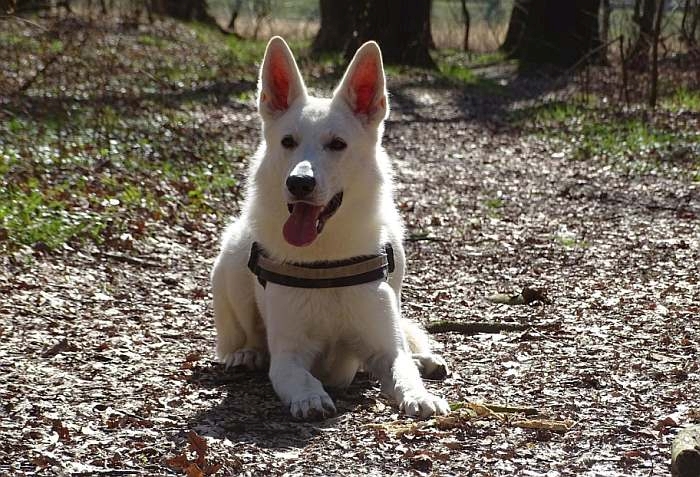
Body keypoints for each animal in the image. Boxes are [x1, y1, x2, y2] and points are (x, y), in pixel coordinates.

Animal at [211, 36, 448, 416]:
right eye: (288, 142)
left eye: (337, 144)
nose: (299, 183)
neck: (326, 261)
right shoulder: (288, 356)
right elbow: (300, 377)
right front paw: (310, 397)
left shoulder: (384, 346)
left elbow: (402, 368)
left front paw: (419, 395)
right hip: (232, 262)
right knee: (240, 338)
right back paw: (246, 353)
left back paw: (424, 359)